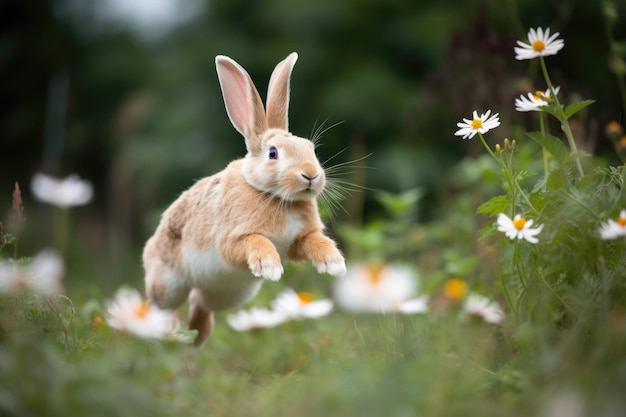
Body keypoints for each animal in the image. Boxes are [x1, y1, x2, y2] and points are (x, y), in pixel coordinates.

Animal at [142, 52, 346, 344]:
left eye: (311, 149)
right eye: (273, 153)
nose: (310, 174)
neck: (276, 197)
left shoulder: (299, 241)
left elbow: (315, 242)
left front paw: (335, 264)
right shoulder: (232, 239)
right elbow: (255, 242)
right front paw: (270, 268)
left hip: (228, 295)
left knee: (199, 303)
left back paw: (195, 338)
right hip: (167, 285)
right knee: (161, 306)